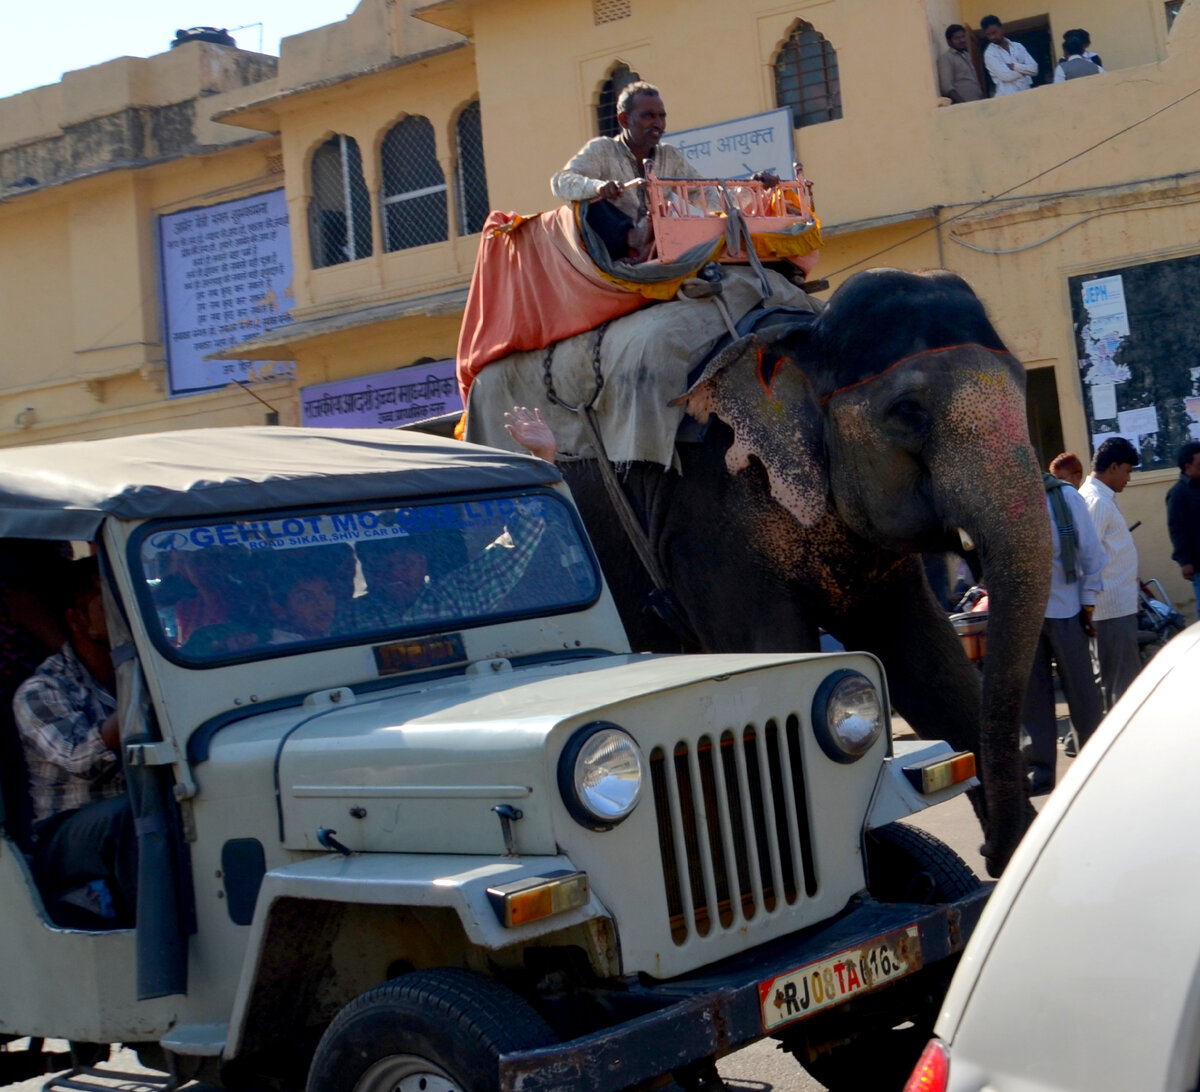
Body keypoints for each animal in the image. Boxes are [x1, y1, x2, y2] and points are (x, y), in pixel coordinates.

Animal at [552, 268, 1051, 878]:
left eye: (1024, 383)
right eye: (907, 409)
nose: (990, 854)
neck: (799, 337)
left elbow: (931, 665)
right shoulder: (707, 517)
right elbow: (769, 658)